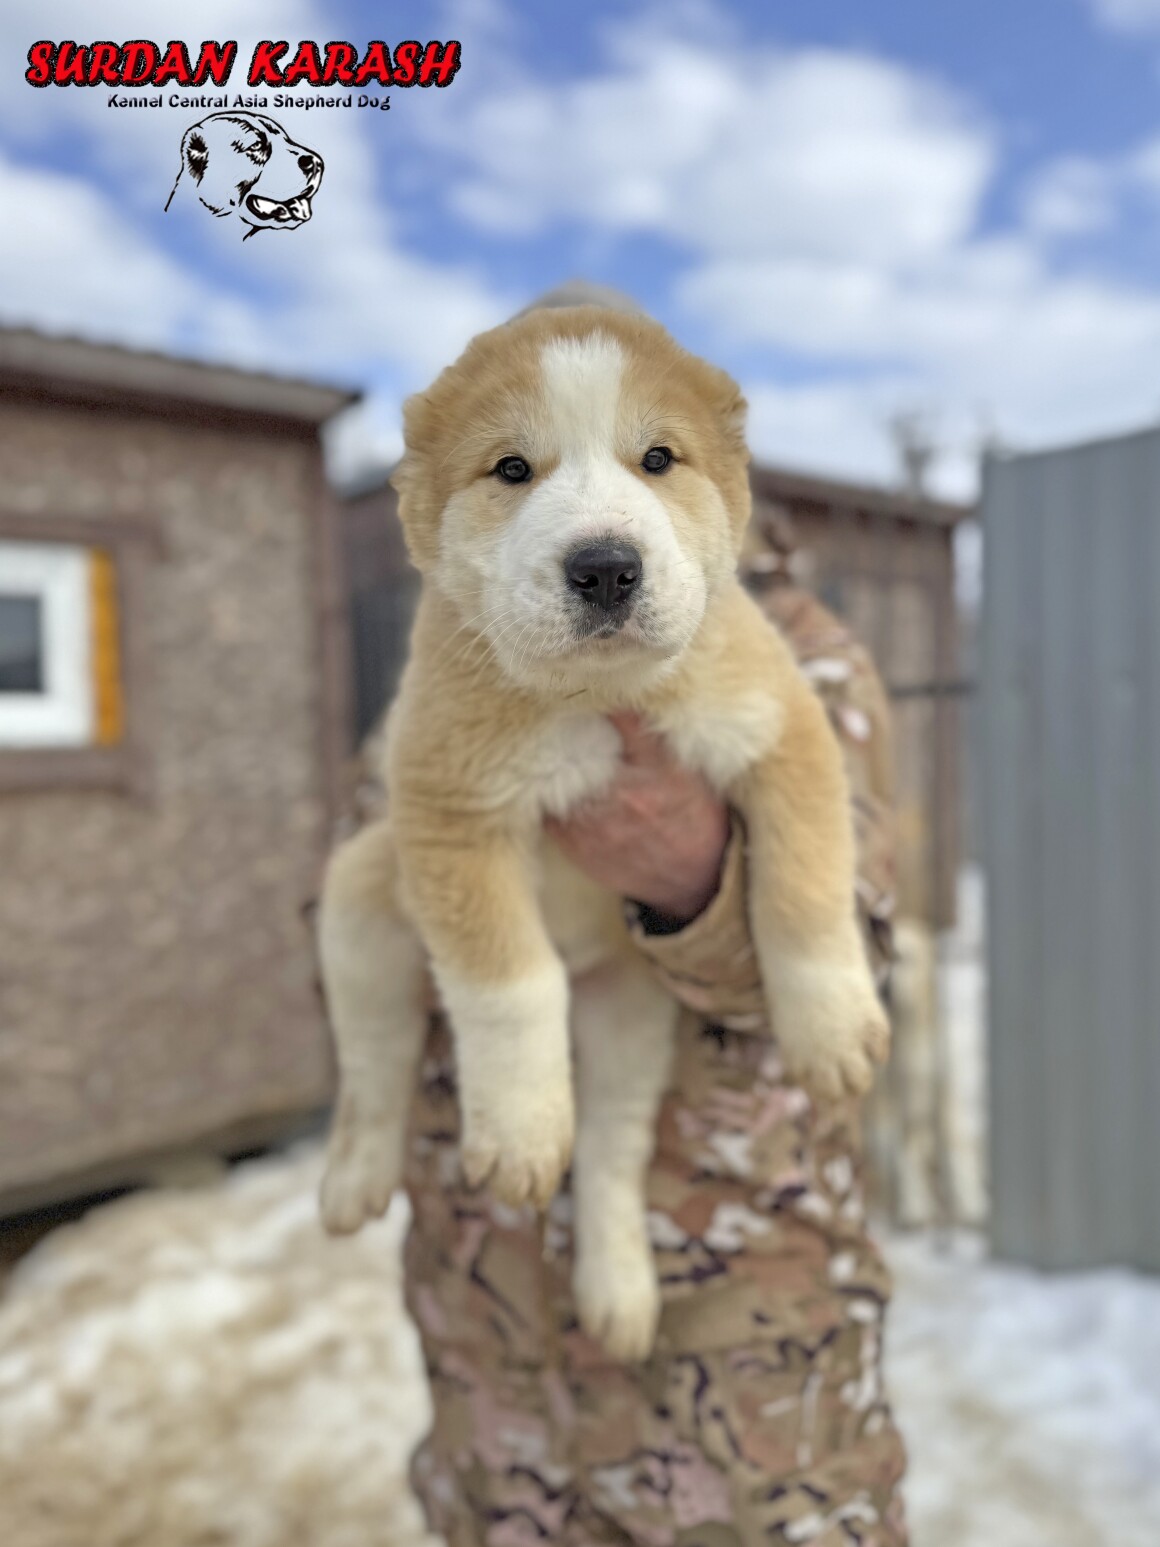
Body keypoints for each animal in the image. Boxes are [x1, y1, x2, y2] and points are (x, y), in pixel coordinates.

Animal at [317, 305, 889, 1361]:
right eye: (511, 469)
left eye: (658, 458)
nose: (606, 567)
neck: (594, 699)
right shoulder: (447, 810)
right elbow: (507, 985)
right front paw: (518, 1131)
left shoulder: (783, 734)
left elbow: (803, 890)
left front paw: (833, 1032)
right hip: (364, 895)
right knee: (376, 1063)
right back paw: (354, 1180)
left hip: (630, 1017)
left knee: (614, 1157)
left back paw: (619, 1296)